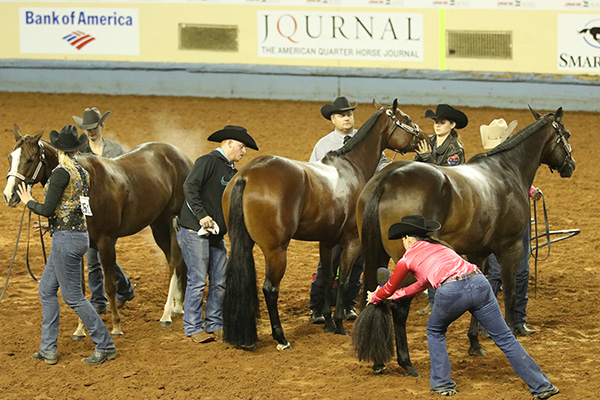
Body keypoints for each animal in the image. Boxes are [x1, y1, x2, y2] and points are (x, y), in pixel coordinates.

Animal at [4, 124, 192, 334]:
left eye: (29, 159)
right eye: (10, 157)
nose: (9, 195)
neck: (87, 185)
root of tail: (182, 156)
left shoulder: (106, 241)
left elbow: (109, 285)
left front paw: (116, 325)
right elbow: (80, 287)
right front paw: (80, 329)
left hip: (173, 221)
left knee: (175, 262)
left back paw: (167, 314)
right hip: (158, 225)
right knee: (175, 261)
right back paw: (178, 306)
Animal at [221, 99, 426, 350]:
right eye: (406, 119)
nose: (424, 138)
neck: (351, 167)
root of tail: (246, 176)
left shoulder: (326, 241)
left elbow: (328, 279)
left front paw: (328, 321)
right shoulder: (352, 241)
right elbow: (344, 280)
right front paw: (338, 324)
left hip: (242, 242)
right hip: (276, 250)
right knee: (270, 289)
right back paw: (281, 338)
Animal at [356, 106, 576, 376]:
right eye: (566, 134)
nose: (570, 166)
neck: (507, 170)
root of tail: (388, 178)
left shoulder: (478, 253)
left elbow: (485, 291)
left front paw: (474, 342)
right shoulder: (510, 248)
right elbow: (510, 292)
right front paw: (513, 334)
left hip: (375, 252)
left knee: (373, 294)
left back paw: (378, 362)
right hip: (405, 261)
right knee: (398, 306)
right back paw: (406, 363)